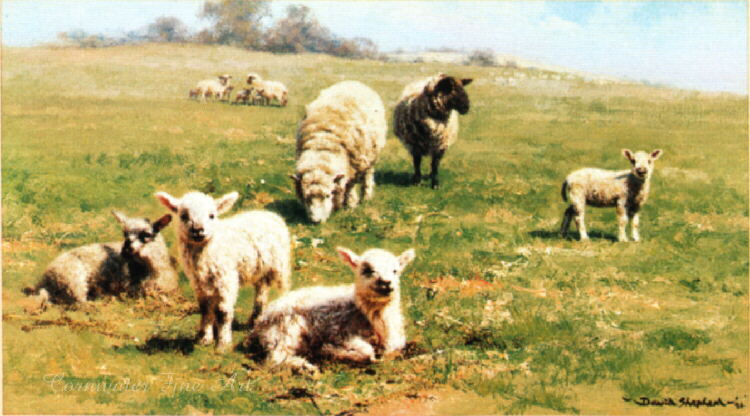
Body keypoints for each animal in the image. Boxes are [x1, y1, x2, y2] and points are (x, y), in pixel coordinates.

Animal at [25, 211, 177, 306]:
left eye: (146, 234)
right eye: (125, 233)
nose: (125, 251)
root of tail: (45, 279)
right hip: (74, 279)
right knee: (79, 303)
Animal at [155, 190, 292, 352]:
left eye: (212, 215)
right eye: (183, 216)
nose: (198, 230)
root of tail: (269, 213)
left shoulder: (226, 279)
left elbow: (223, 312)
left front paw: (223, 344)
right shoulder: (199, 283)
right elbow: (205, 309)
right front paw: (205, 339)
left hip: (281, 266)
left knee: (284, 290)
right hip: (259, 270)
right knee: (261, 292)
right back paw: (255, 319)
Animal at [246, 246, 415, 373]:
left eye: (395, 271)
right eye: (367, 270)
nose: (386, 283)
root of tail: (258, 325)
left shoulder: (396, 339)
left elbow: (393, 349)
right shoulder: (339, 333)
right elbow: (367, 352)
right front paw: (332, 351)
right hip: (286, 329)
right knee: (276, 358)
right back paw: (305, 367)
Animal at [290, 81, 387, 224]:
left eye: (327, 195)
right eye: (307, 197)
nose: (316, 221)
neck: (322, 143)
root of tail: (352, 81)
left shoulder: (354, 165)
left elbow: (350, 186)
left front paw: (351, 204)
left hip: (371, 155)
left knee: (368, 175)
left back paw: (366, 196)